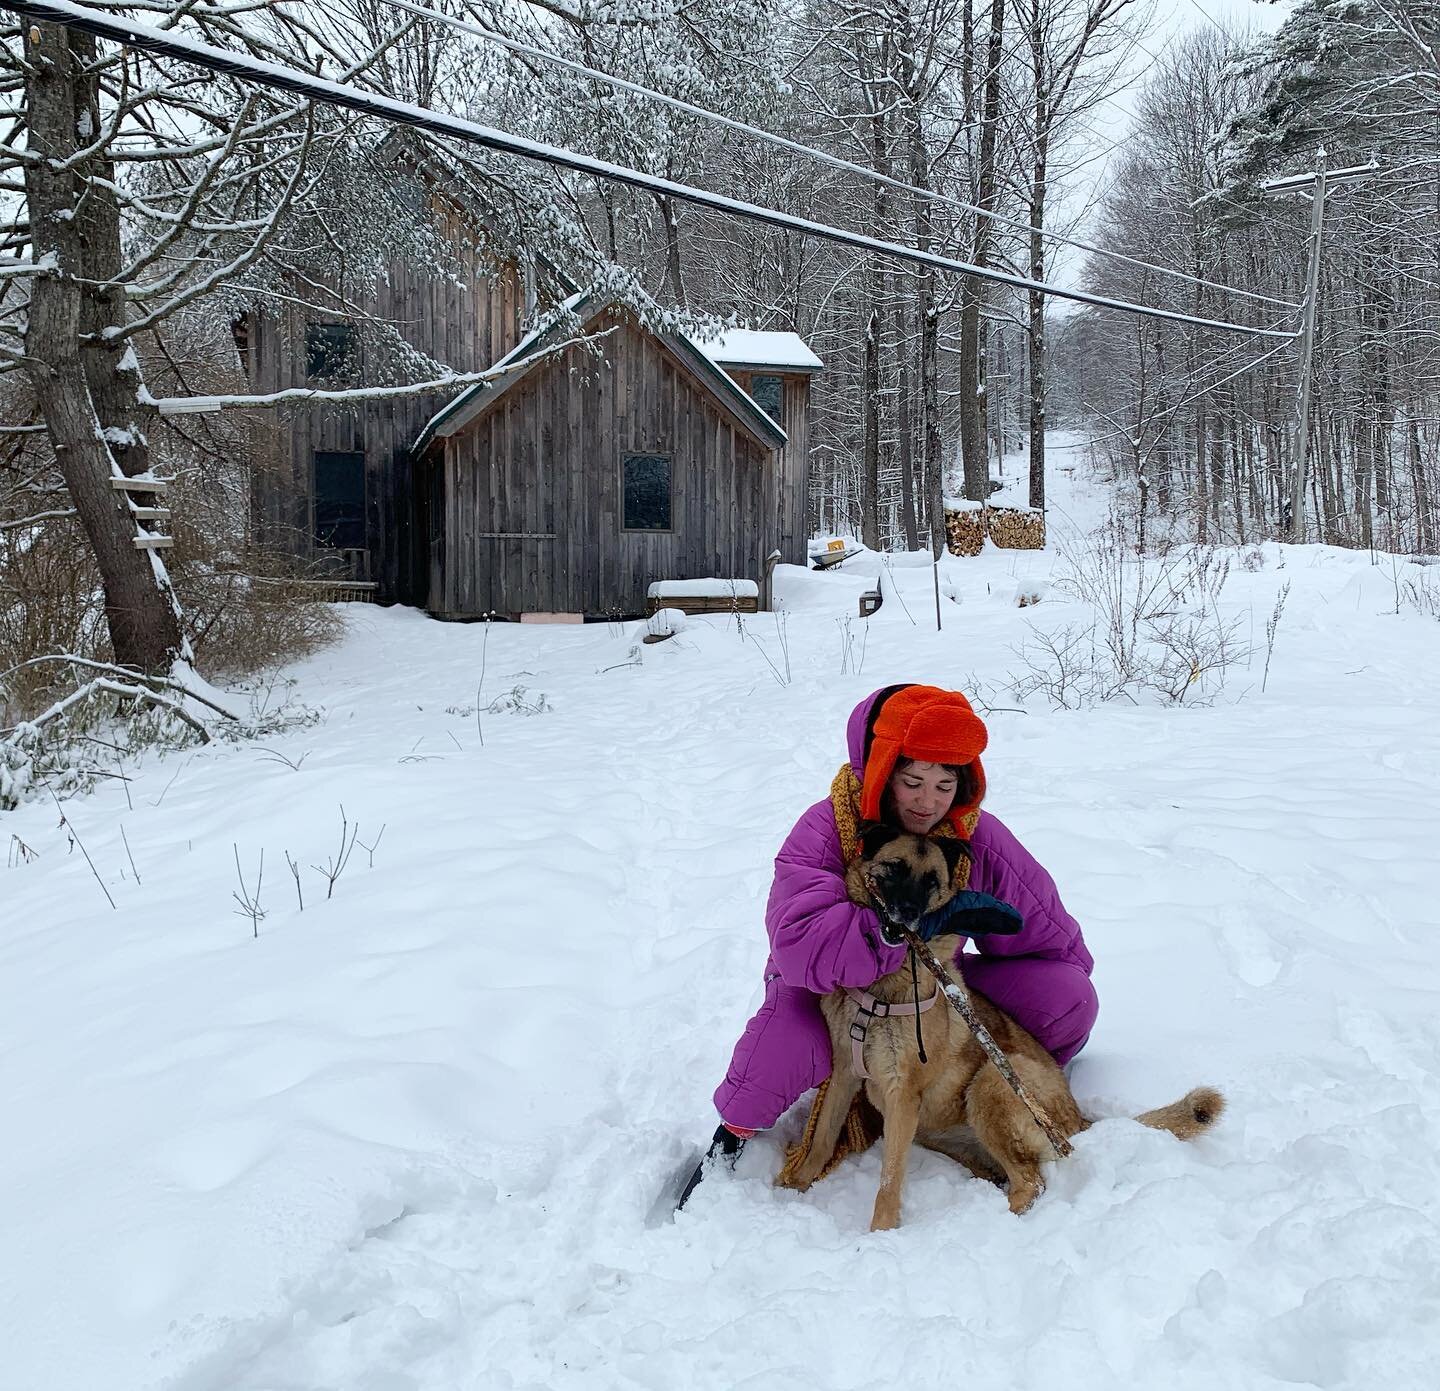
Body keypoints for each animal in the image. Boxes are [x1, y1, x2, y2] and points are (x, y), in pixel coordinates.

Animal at [777, 829, 1226, 1232]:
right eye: (894, 868)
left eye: (932, 882)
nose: (907, 913)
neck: (881, 989)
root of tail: (1079, 1119)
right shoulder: (846, 1073)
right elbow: (821, 1140)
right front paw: (794, 1187)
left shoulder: (901, 1092)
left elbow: (889, 1181)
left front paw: (880, 1234)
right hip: (940, 1127)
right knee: (1012, 1172)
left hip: (991, 1083)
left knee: (1031, 1182)